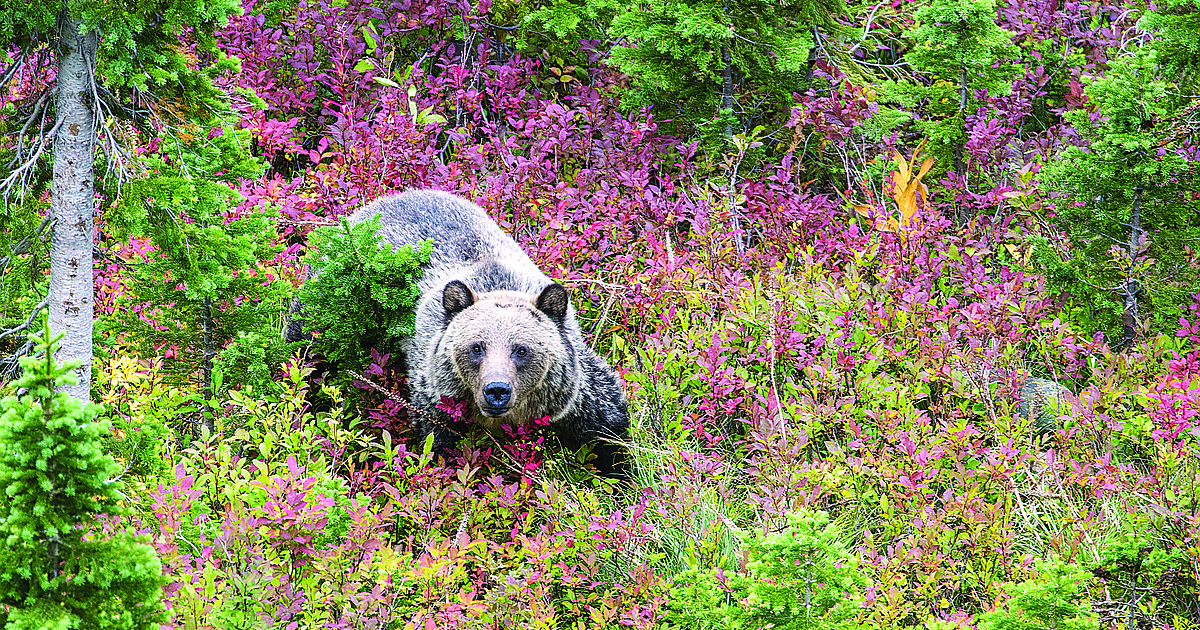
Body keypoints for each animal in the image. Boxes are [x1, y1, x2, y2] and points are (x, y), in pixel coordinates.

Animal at [295, 192, 633, 477]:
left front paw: (621, 472)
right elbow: (436, 442)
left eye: (521, 349)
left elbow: (608, 425)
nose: (496, 390)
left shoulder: (574, 392)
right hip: (333, 301)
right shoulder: (436, 391)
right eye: (476, 347)